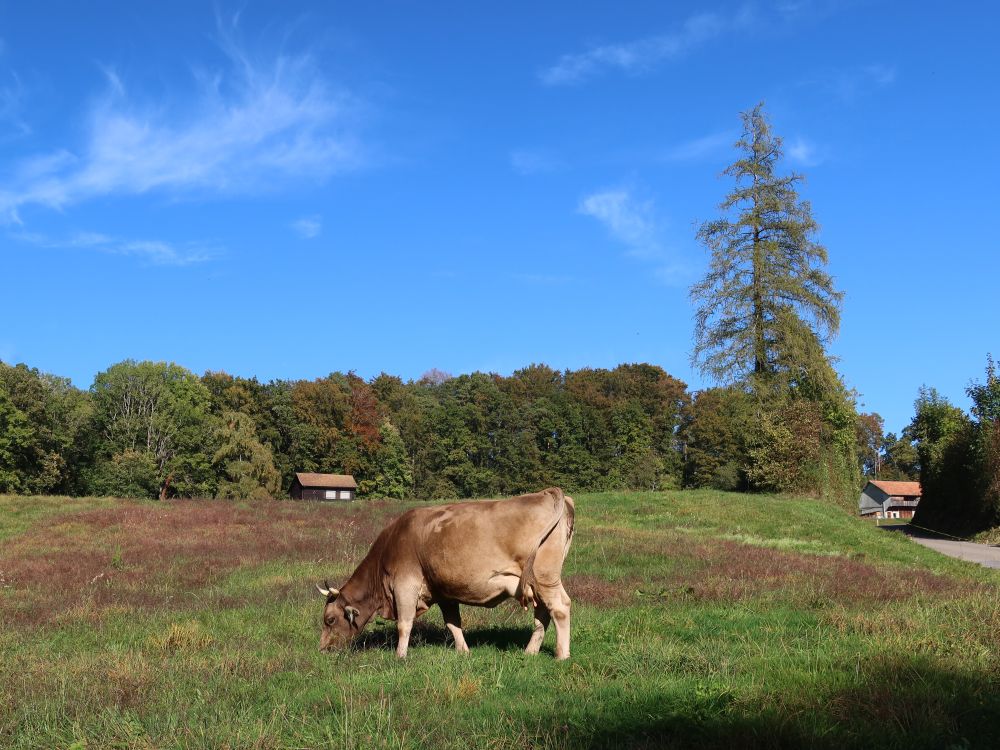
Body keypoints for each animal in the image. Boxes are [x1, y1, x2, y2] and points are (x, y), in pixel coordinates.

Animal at [316, 488, 576, 656]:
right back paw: (531, 651)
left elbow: (404, 624)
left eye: (330, 619)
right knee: (542, 613)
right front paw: (463, 651)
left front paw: (400, 656)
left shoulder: (405, 584)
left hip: (545, 577)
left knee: (560, 607)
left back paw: (562, 655)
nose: (322, 649)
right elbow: (453, 623)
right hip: (535, 582)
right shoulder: (444, 592)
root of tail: (546, 493)